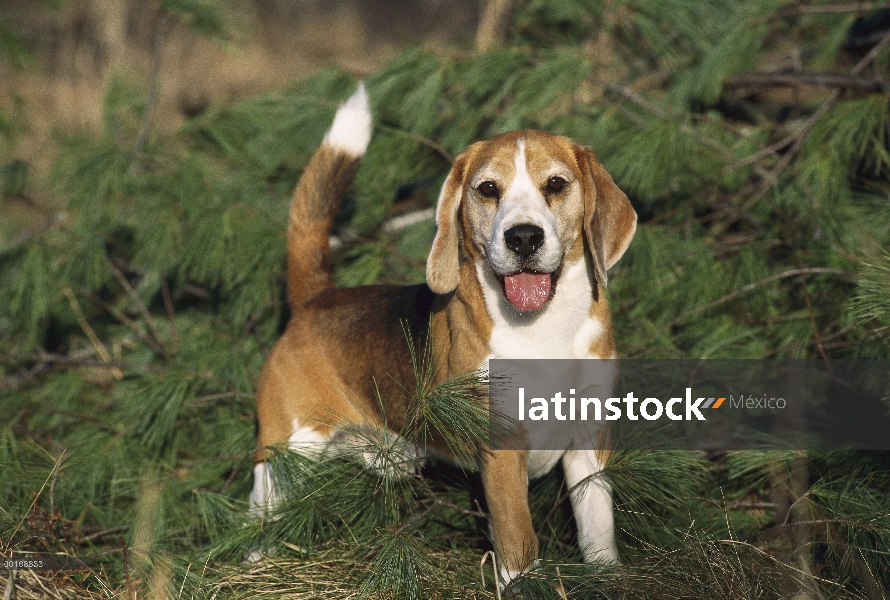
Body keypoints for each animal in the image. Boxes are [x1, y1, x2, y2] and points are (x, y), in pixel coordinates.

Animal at [250, 84, 636, 584]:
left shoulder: (588, 444)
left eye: (556, 184)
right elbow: (518, 544)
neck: (543, 327)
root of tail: (316, 299)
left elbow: (598, 530)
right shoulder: (502, 451)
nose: (523, 237)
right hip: (284, 461)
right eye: (487, 189)